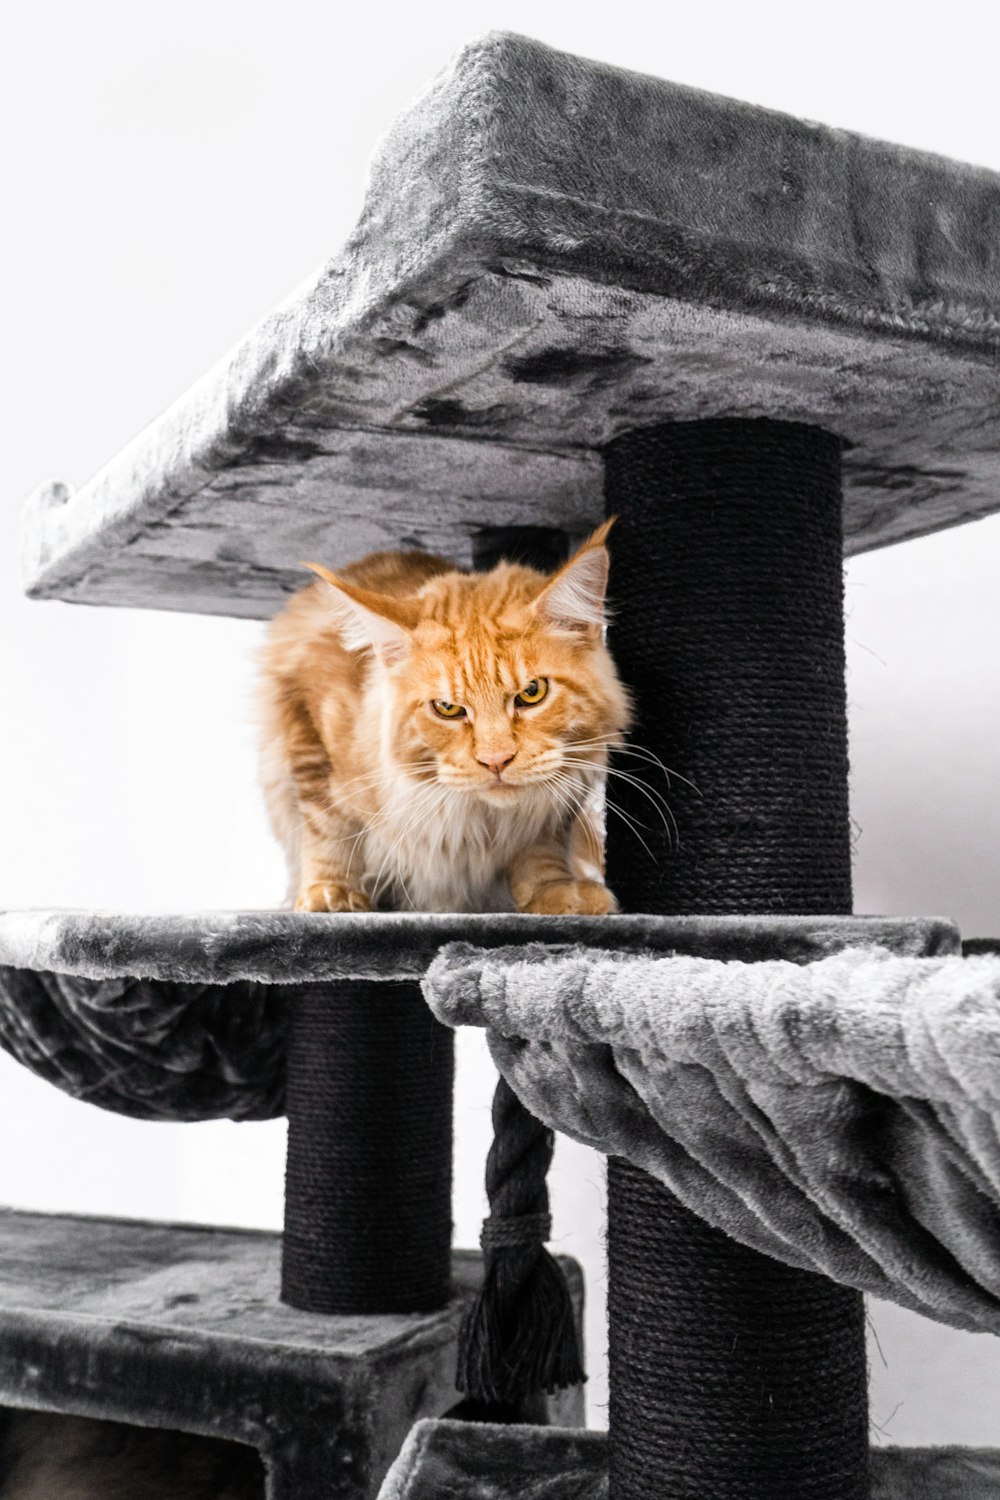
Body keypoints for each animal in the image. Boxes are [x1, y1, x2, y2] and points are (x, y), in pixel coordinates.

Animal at [260, 522, 632, 918]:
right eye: (447, 708)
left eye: (532, 693)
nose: (496, 760)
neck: (477, 820)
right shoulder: (309, 724)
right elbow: (328, 828)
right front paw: (331, 892)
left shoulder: (554, 804)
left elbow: (541, 848)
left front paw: (554, 892)